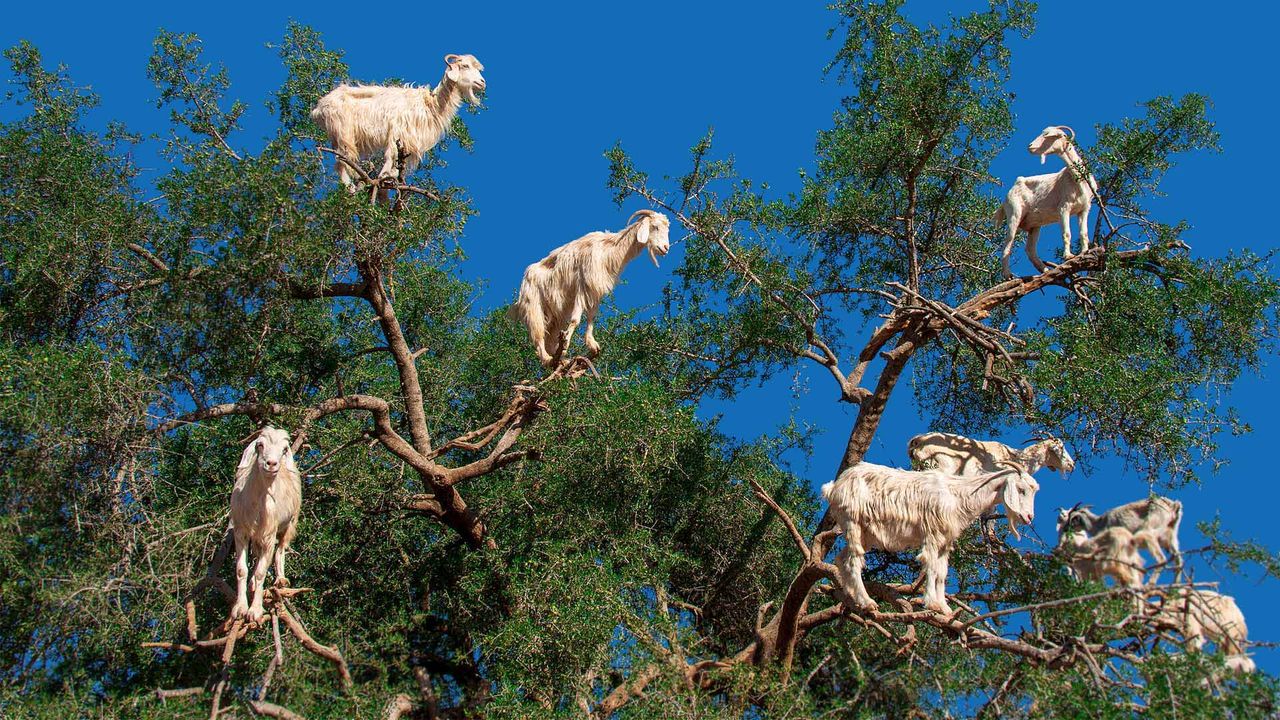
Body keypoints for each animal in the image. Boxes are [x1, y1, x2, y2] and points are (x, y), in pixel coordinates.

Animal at [230, 426, 302, 623]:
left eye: (285, 449)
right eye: (260, 445)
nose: (271, 464)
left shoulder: (269, 535)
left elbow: (262, 571)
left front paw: (254, 611)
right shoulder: (240, 531)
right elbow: (241, 569)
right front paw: (240, 608)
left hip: (290, 523)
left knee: (281, 549)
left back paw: (280, 580)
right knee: (256, 553)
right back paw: (253, 584)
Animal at [311, 54, 486, 190]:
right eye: (465, 65)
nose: (482, 82)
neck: (431, 104)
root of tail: (318, 109)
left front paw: (390, 178)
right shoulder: (398, 132)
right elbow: (390, 156)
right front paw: (383, 178)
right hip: (343, 132)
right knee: (341, 162)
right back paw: (350, 188)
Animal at [508, 210, 671, 368]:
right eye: (655, 227)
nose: (665, 249)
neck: (608, 250)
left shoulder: (595, 291)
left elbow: (592, 317)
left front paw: (592, 345)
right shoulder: (583, 286)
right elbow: (575, 319)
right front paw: (566, 344)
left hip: (555, 315)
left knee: (550, 337)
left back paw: (560, 360)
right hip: (533, 306)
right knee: (538, 336)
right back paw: (549, 358)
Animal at [822, 462, 1039, 614]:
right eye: (1021, 489)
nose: (1028, 517)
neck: (958, 495)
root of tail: (833, 487)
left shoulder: (946, 540)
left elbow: (942, 572)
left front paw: (944, 608)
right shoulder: (932, 534)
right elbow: (931, 567)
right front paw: (932, 603)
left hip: (866, 534)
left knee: (842, 559)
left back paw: (852, 597)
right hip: (853, 523)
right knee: (853, 561)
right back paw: (866, 602)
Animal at [995, 125, 1099, 278]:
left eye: (1047, 135)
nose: (1030, 146)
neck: (1077, 180)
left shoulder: (1084, 209)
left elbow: (1084, 233)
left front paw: (1084, 252)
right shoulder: (1064, 208)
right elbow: (1066, 233)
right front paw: (1068, 256)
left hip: (1034, 225)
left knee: (1030, 250)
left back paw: (1045, 271)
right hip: (1014, 215)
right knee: (1007, 244)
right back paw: (1008, 275)